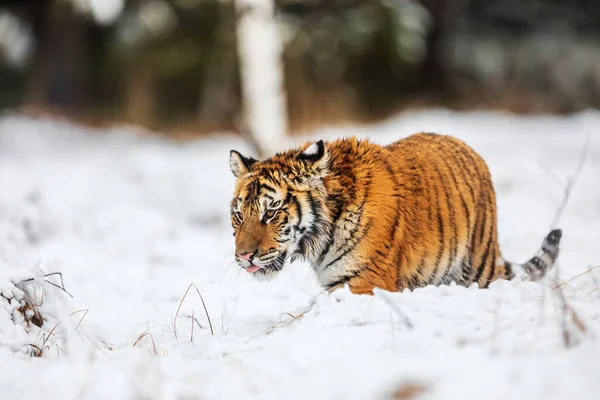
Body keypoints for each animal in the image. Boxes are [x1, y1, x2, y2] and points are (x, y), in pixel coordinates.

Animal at [227, 133, 560, 296]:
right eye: (239, 215)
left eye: (271, 212)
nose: (244, 256)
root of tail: (468, 148)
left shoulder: (363, 283)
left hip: (477, 267)